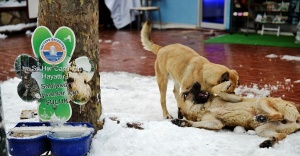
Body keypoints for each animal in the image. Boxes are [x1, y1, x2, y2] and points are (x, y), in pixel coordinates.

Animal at [171, 81, 300, 147]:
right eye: (185, 95)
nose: (197, 82)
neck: (204, 107)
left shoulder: (236, 98)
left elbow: (215, 90)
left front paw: (224, 85)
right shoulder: (215, 122)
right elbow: (196, 123)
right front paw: (182, 122)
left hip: (262, 101)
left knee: (279, 115)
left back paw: (262, 118)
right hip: (262, 130)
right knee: (282, 134)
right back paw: (269, 140)